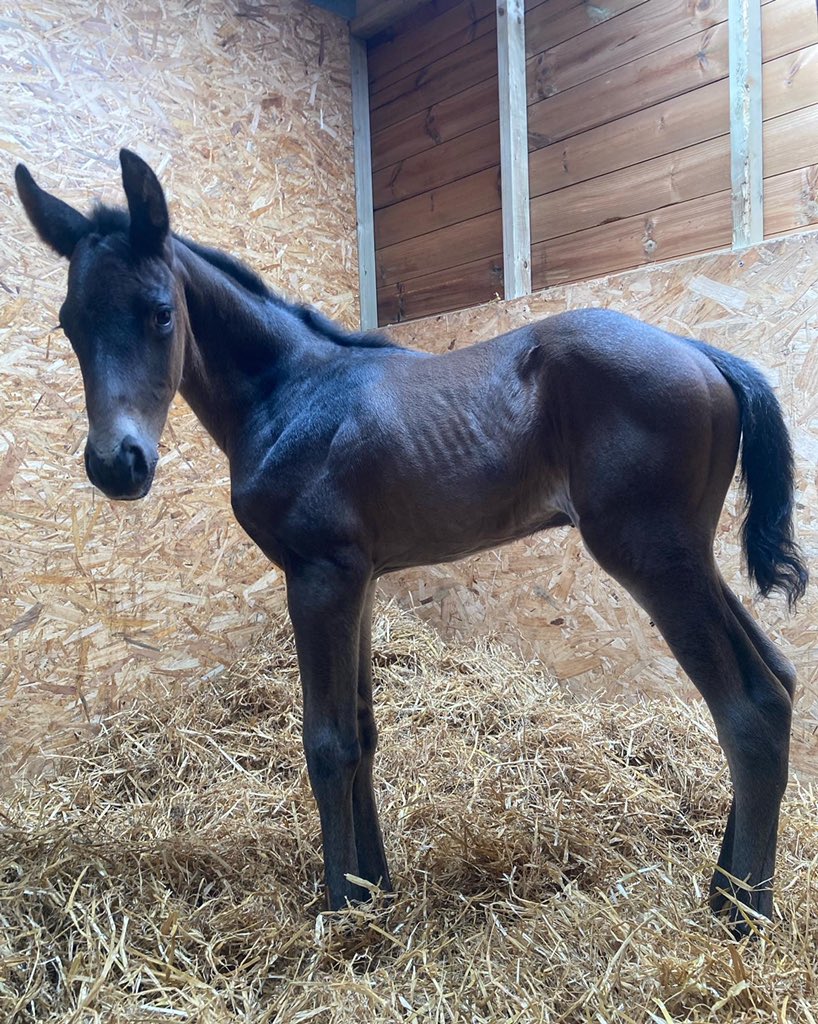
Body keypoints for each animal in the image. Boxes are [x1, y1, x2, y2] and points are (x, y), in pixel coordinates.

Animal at [15, 150, 807, 936]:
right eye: (68, 323)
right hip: (688, 553)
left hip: (650, 552)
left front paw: (343, 912)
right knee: (779, 675)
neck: (291, 394)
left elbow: (327, 742)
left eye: (160, 313)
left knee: (750, 707)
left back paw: (745, 914)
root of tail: (701, 350)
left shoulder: (318, 575)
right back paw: (727, 890)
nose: (117, 464)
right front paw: (375, 890)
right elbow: (362, 732)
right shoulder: (359, 579)